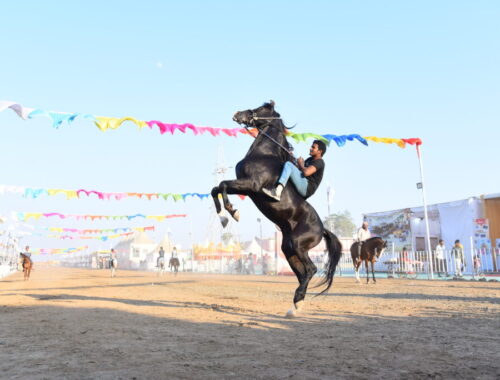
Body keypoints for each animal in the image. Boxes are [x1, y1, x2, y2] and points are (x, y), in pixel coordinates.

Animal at [211, 101, 344, 318]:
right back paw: (295, 306)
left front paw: (232, 212)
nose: (237, 114)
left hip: (298, 245)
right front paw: (223, 217)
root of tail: (323, 229)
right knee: (302, 274)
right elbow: (216, 188)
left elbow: (221, 185)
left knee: (311, 270)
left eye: (260, 108)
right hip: (289, 251)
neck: (264, 154)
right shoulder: (244, 187)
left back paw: (296, 303)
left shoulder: (251, 185)